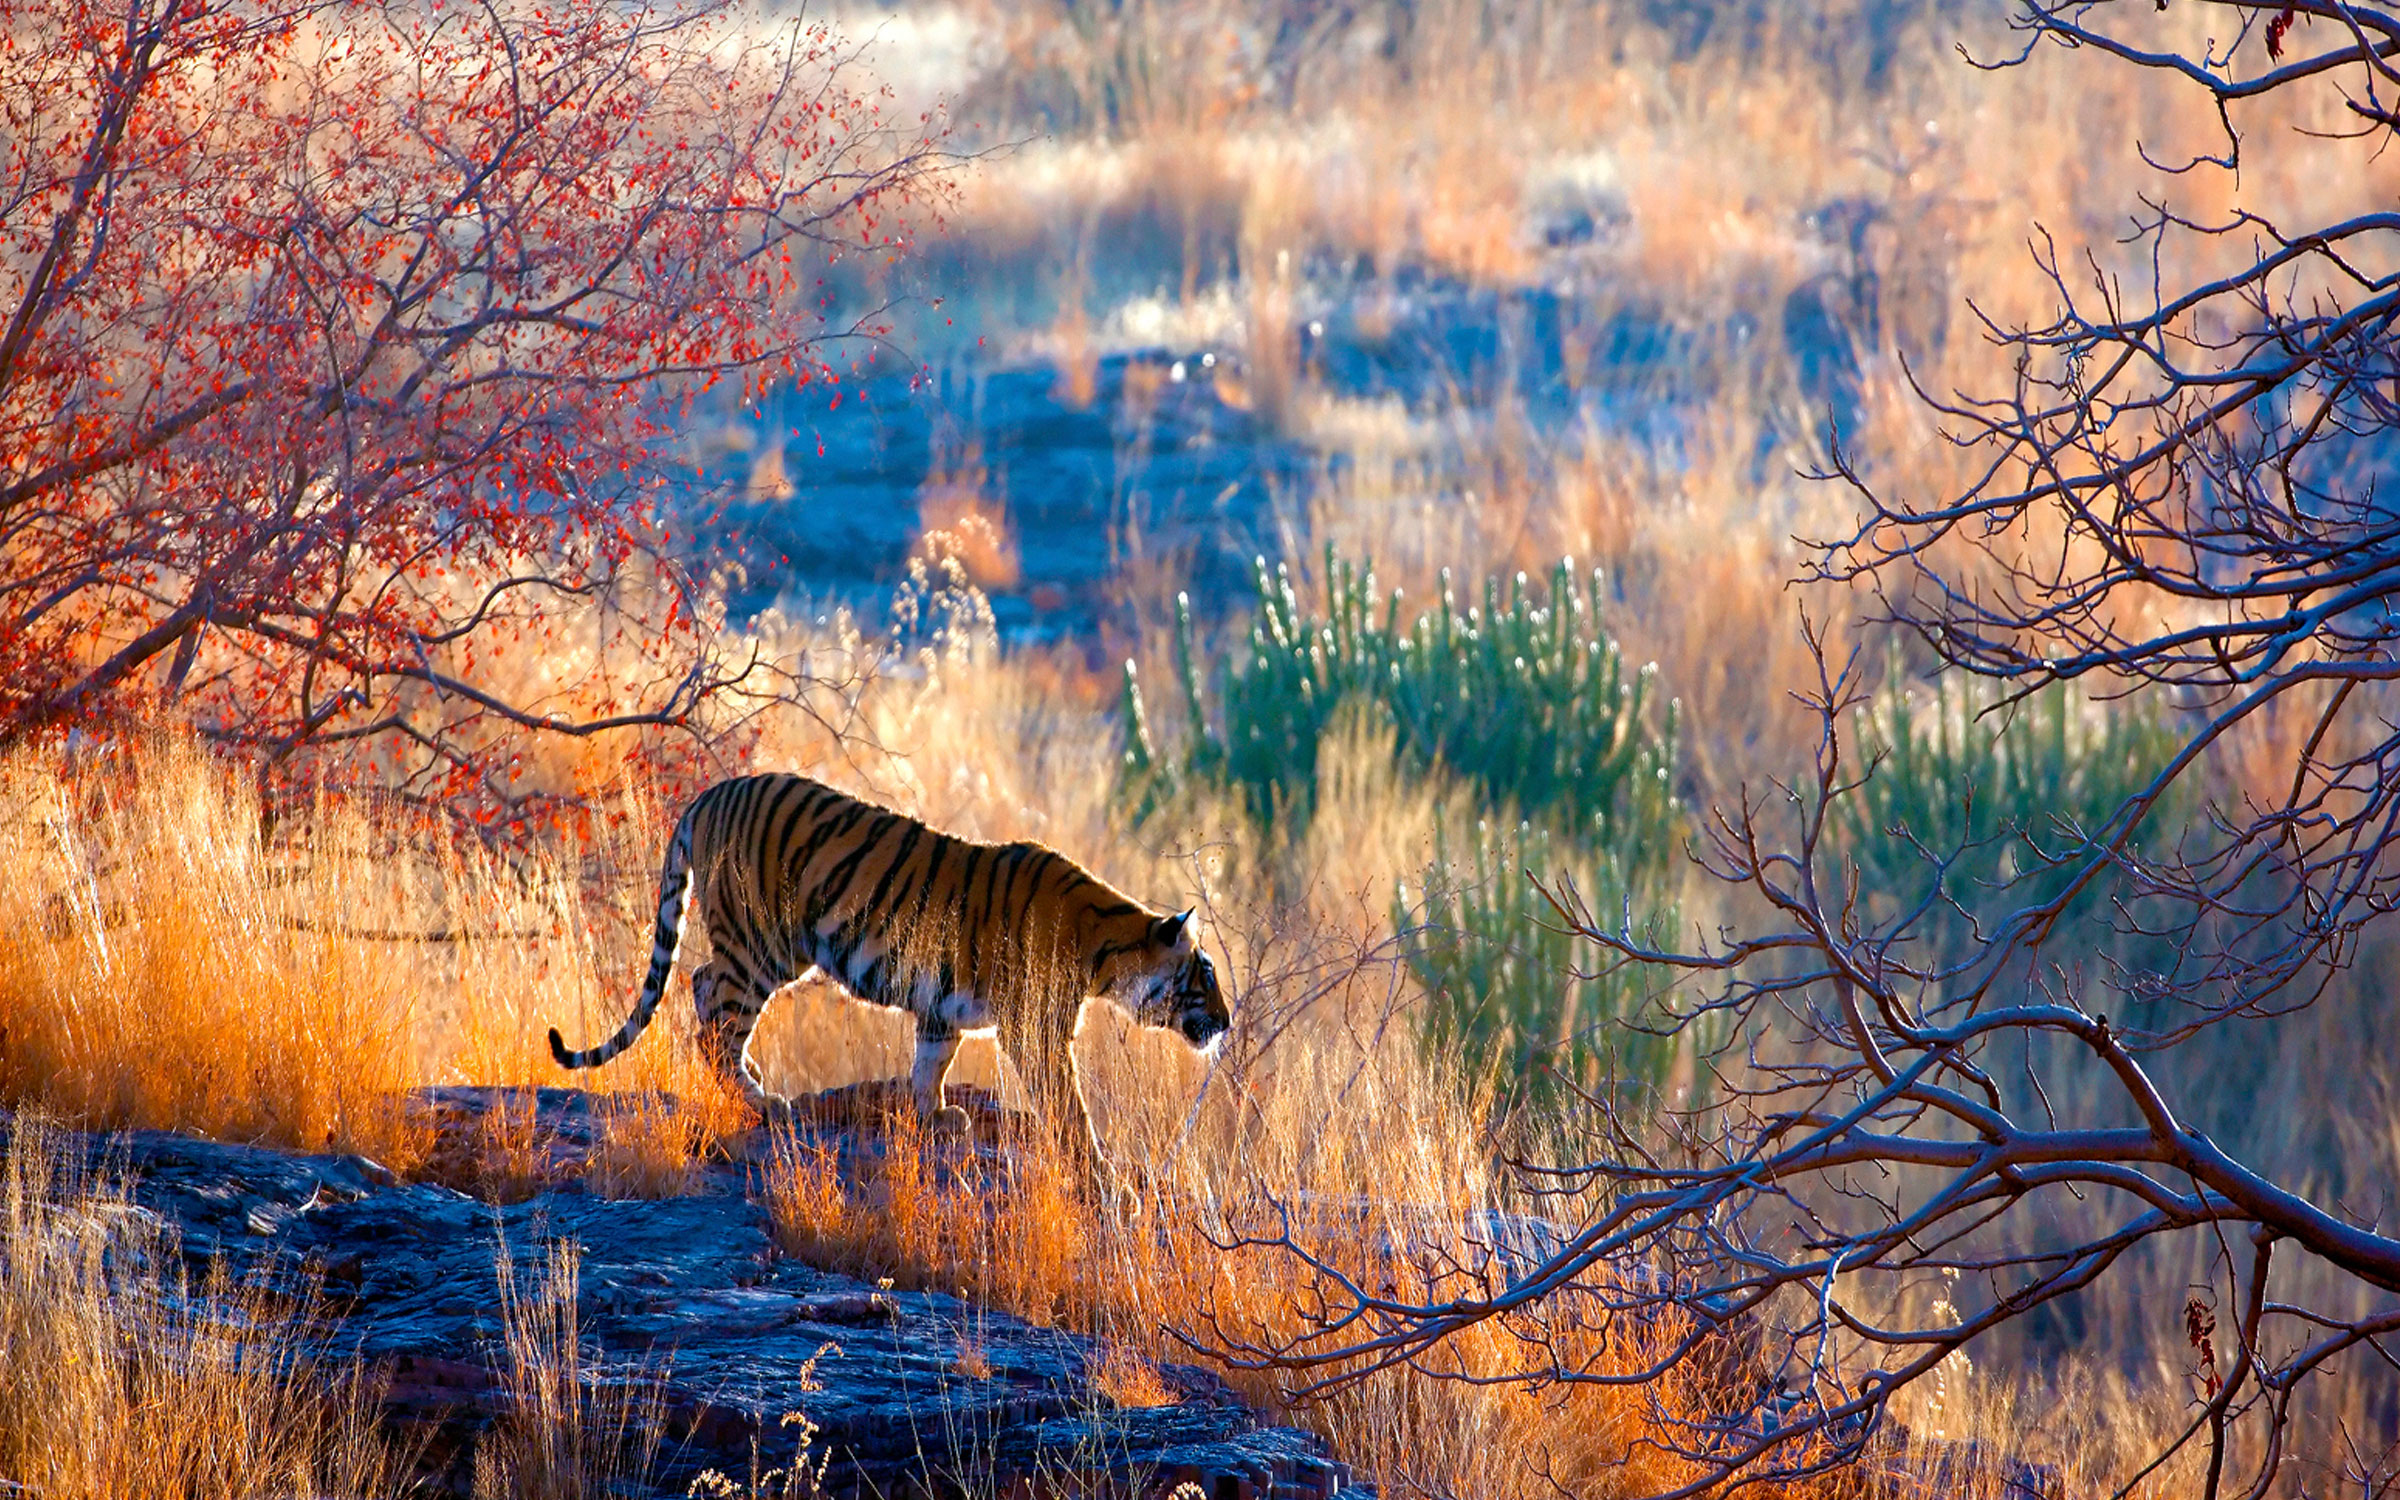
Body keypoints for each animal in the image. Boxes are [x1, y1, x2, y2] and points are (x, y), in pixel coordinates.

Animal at [548, 772, 1231, 1181]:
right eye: (1204, 973)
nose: (1227, 1022)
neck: (1107, 954)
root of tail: (710, 794)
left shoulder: (943, 1010)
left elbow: (931, 1064)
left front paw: (937, 1117)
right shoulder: (1036, 1031)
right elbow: (1069, 1104)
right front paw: (1103, 1171)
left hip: (764, 947)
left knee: (700, 986)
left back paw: (752, 1077)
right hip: (761, 942)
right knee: (714, 1012)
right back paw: (758, 1097)